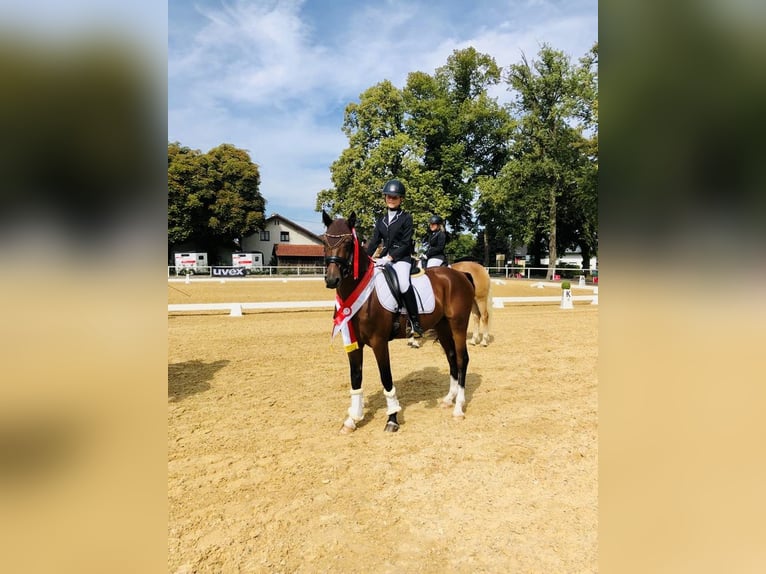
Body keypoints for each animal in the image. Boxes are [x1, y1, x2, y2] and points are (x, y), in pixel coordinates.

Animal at [320, 210, 476, 432]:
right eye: (325, 241)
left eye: (349, 242)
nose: (332, 280)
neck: (364, 294)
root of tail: (461, 274)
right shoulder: (353, 342)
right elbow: (356, 377)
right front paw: (352, 420)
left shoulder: (379, 342)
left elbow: (386, 377)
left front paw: (392, 418)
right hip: (443, 327)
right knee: (452, 357)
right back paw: (448, 399)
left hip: (458, 326)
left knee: (463, 359)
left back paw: (458, 408)